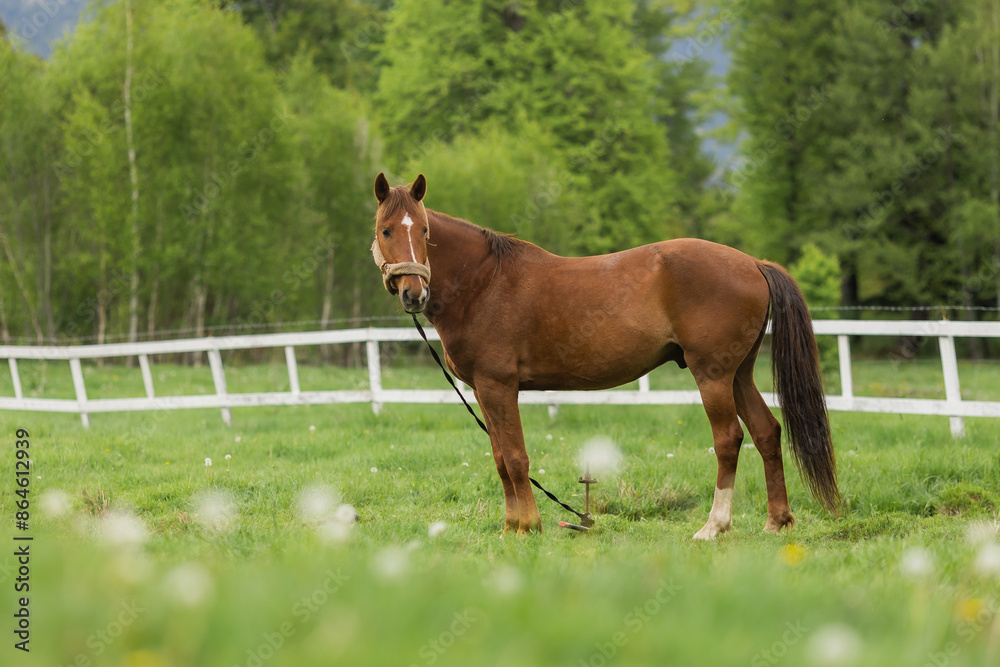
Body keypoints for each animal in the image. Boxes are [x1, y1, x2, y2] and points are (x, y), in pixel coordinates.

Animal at [371, 172, 839, 538]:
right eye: (386, 230)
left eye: (424, 231)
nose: (414, 293)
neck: (484, 283)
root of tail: (754, 263)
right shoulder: (484, 391)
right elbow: (502, 459)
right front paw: (510, 527)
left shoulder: (498, 385)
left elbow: (517, 458)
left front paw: (529, 526)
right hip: (739, 374)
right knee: (766, 432)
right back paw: (776, 522)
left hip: (713, 375)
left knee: (729, 439)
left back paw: (713, 526)